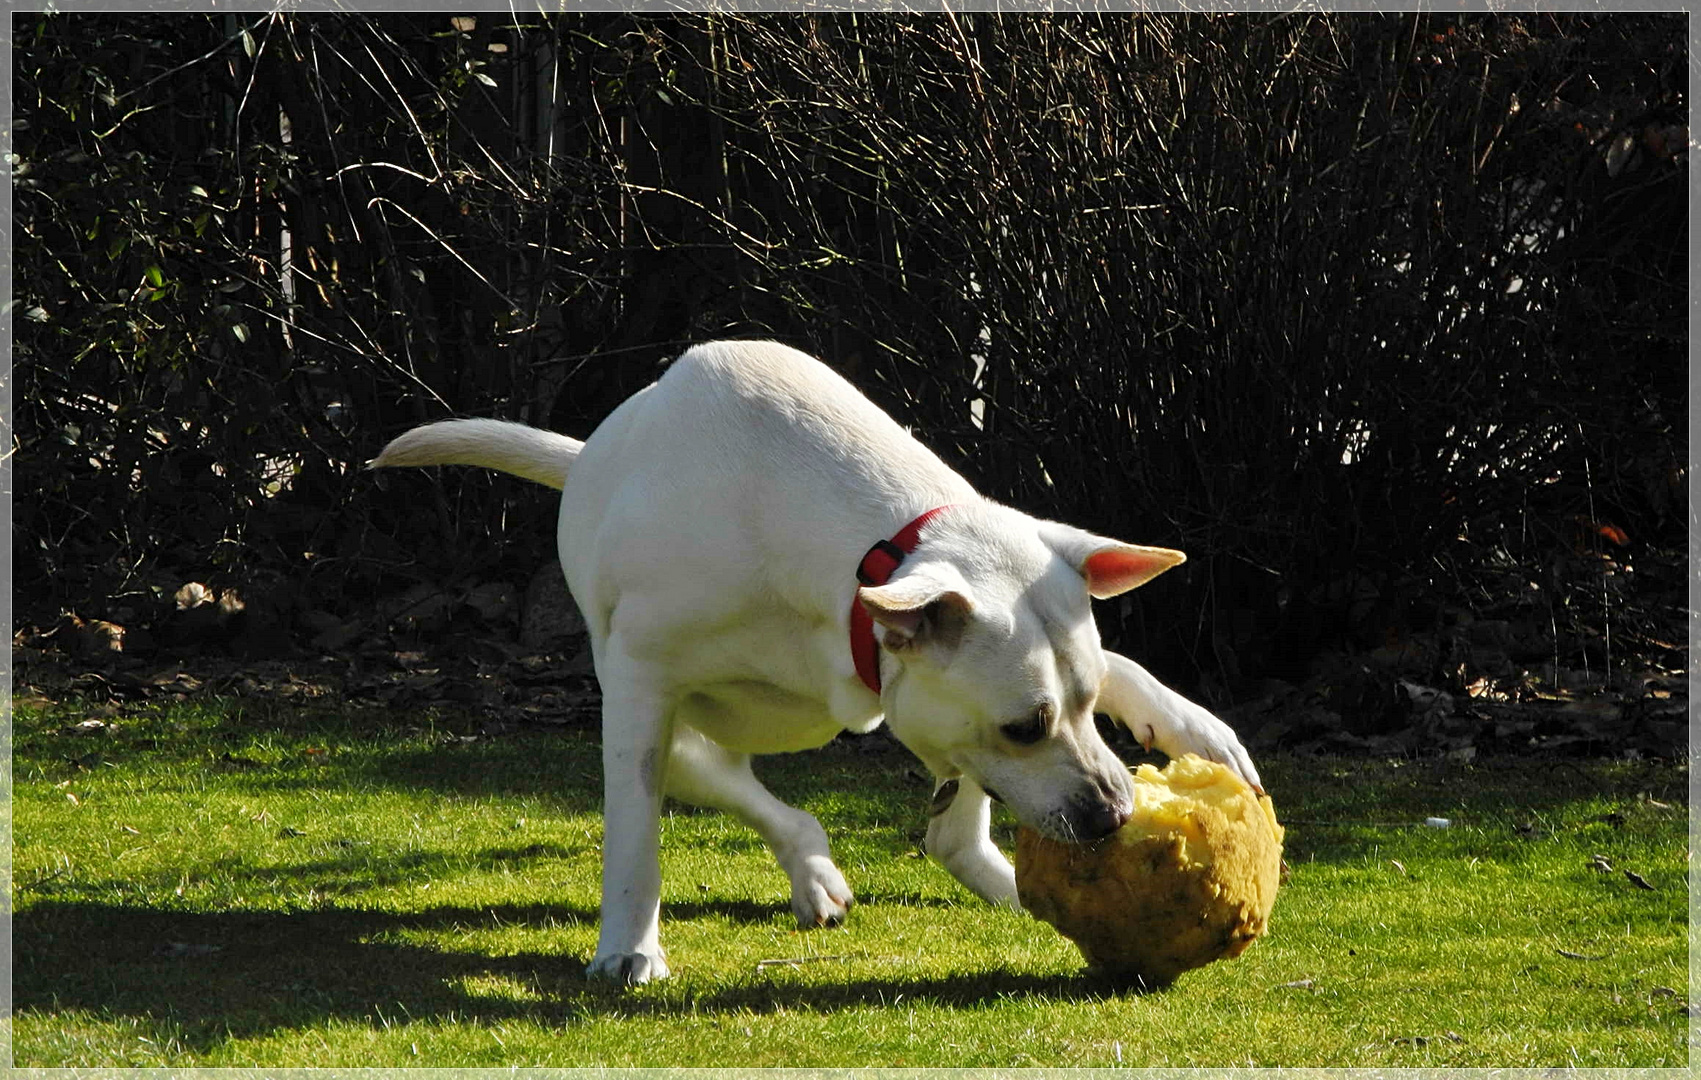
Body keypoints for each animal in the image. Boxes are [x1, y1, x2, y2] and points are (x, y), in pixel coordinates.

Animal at [372, 340, 1265, 986]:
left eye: (1079, 708)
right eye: (1025, 726)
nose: (1114, 815)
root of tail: (591, 449)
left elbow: (1100, 671)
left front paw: (1183, 722)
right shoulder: (638, 687)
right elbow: (634, 831)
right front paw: (630, 945)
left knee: (940, 821)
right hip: (664, 710)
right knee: (723, 778)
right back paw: (817, 870)